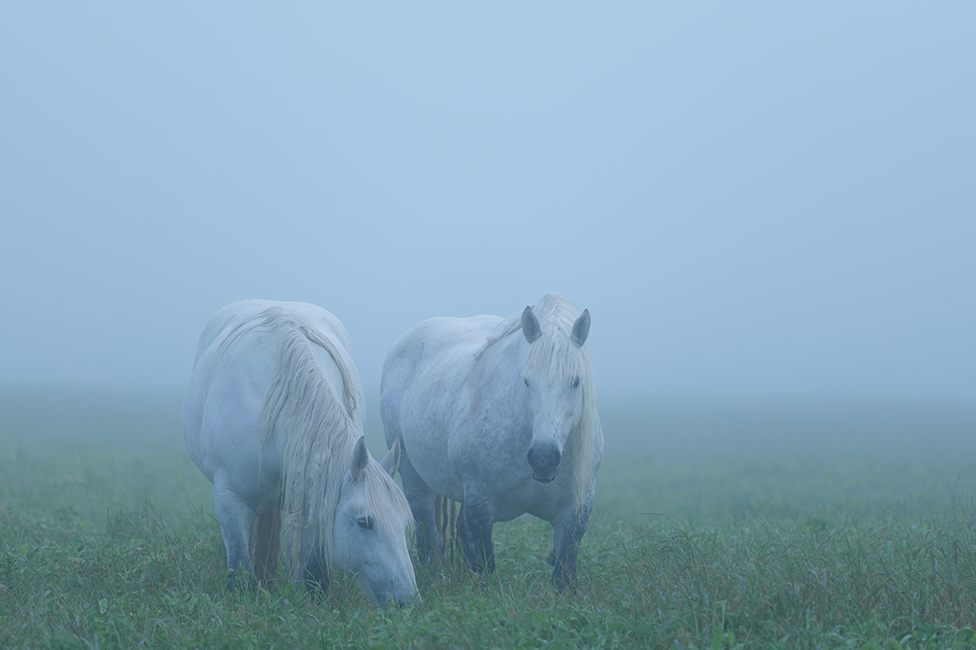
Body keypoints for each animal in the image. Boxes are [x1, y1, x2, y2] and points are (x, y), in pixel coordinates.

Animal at [183, 300, 418, 608]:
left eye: (403, 523)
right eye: (365, 522)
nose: (408, 600)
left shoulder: (314, 497)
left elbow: (312, 577)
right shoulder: (229, 500)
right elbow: (240, 572)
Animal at [380, 293, 603, 588]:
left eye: (576, 382)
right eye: (526, 381)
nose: (543, 459)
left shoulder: (574, 515)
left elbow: (563, 576)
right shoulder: (480, 505)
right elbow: (484, 567)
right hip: (411, 473)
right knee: (426, 531)